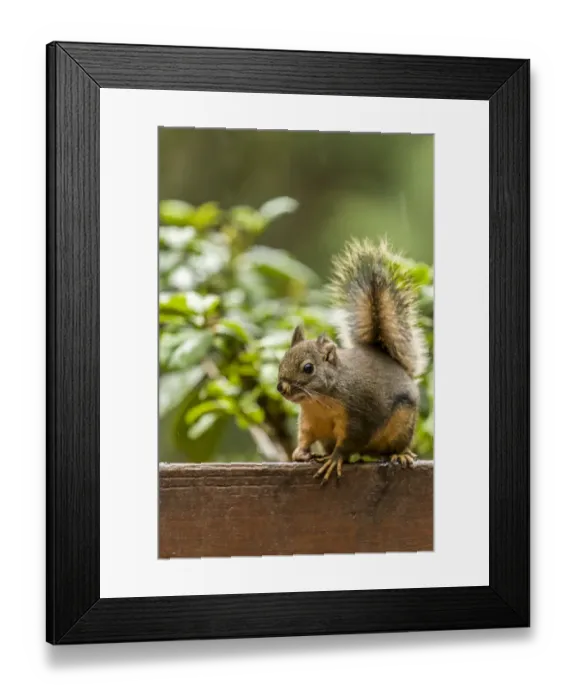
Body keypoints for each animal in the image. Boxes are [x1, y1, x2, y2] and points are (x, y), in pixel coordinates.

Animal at [277, 238, 428, 482]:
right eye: (281, 362)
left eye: (308, 368)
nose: (281, 387)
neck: (320, 401)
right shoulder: (308, 421)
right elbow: (305, 437)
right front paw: (300, 453)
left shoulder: (357, 416)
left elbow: (348, 442)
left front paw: (335, 459)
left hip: (403, 422)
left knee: (394, 446)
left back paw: (400, 454)